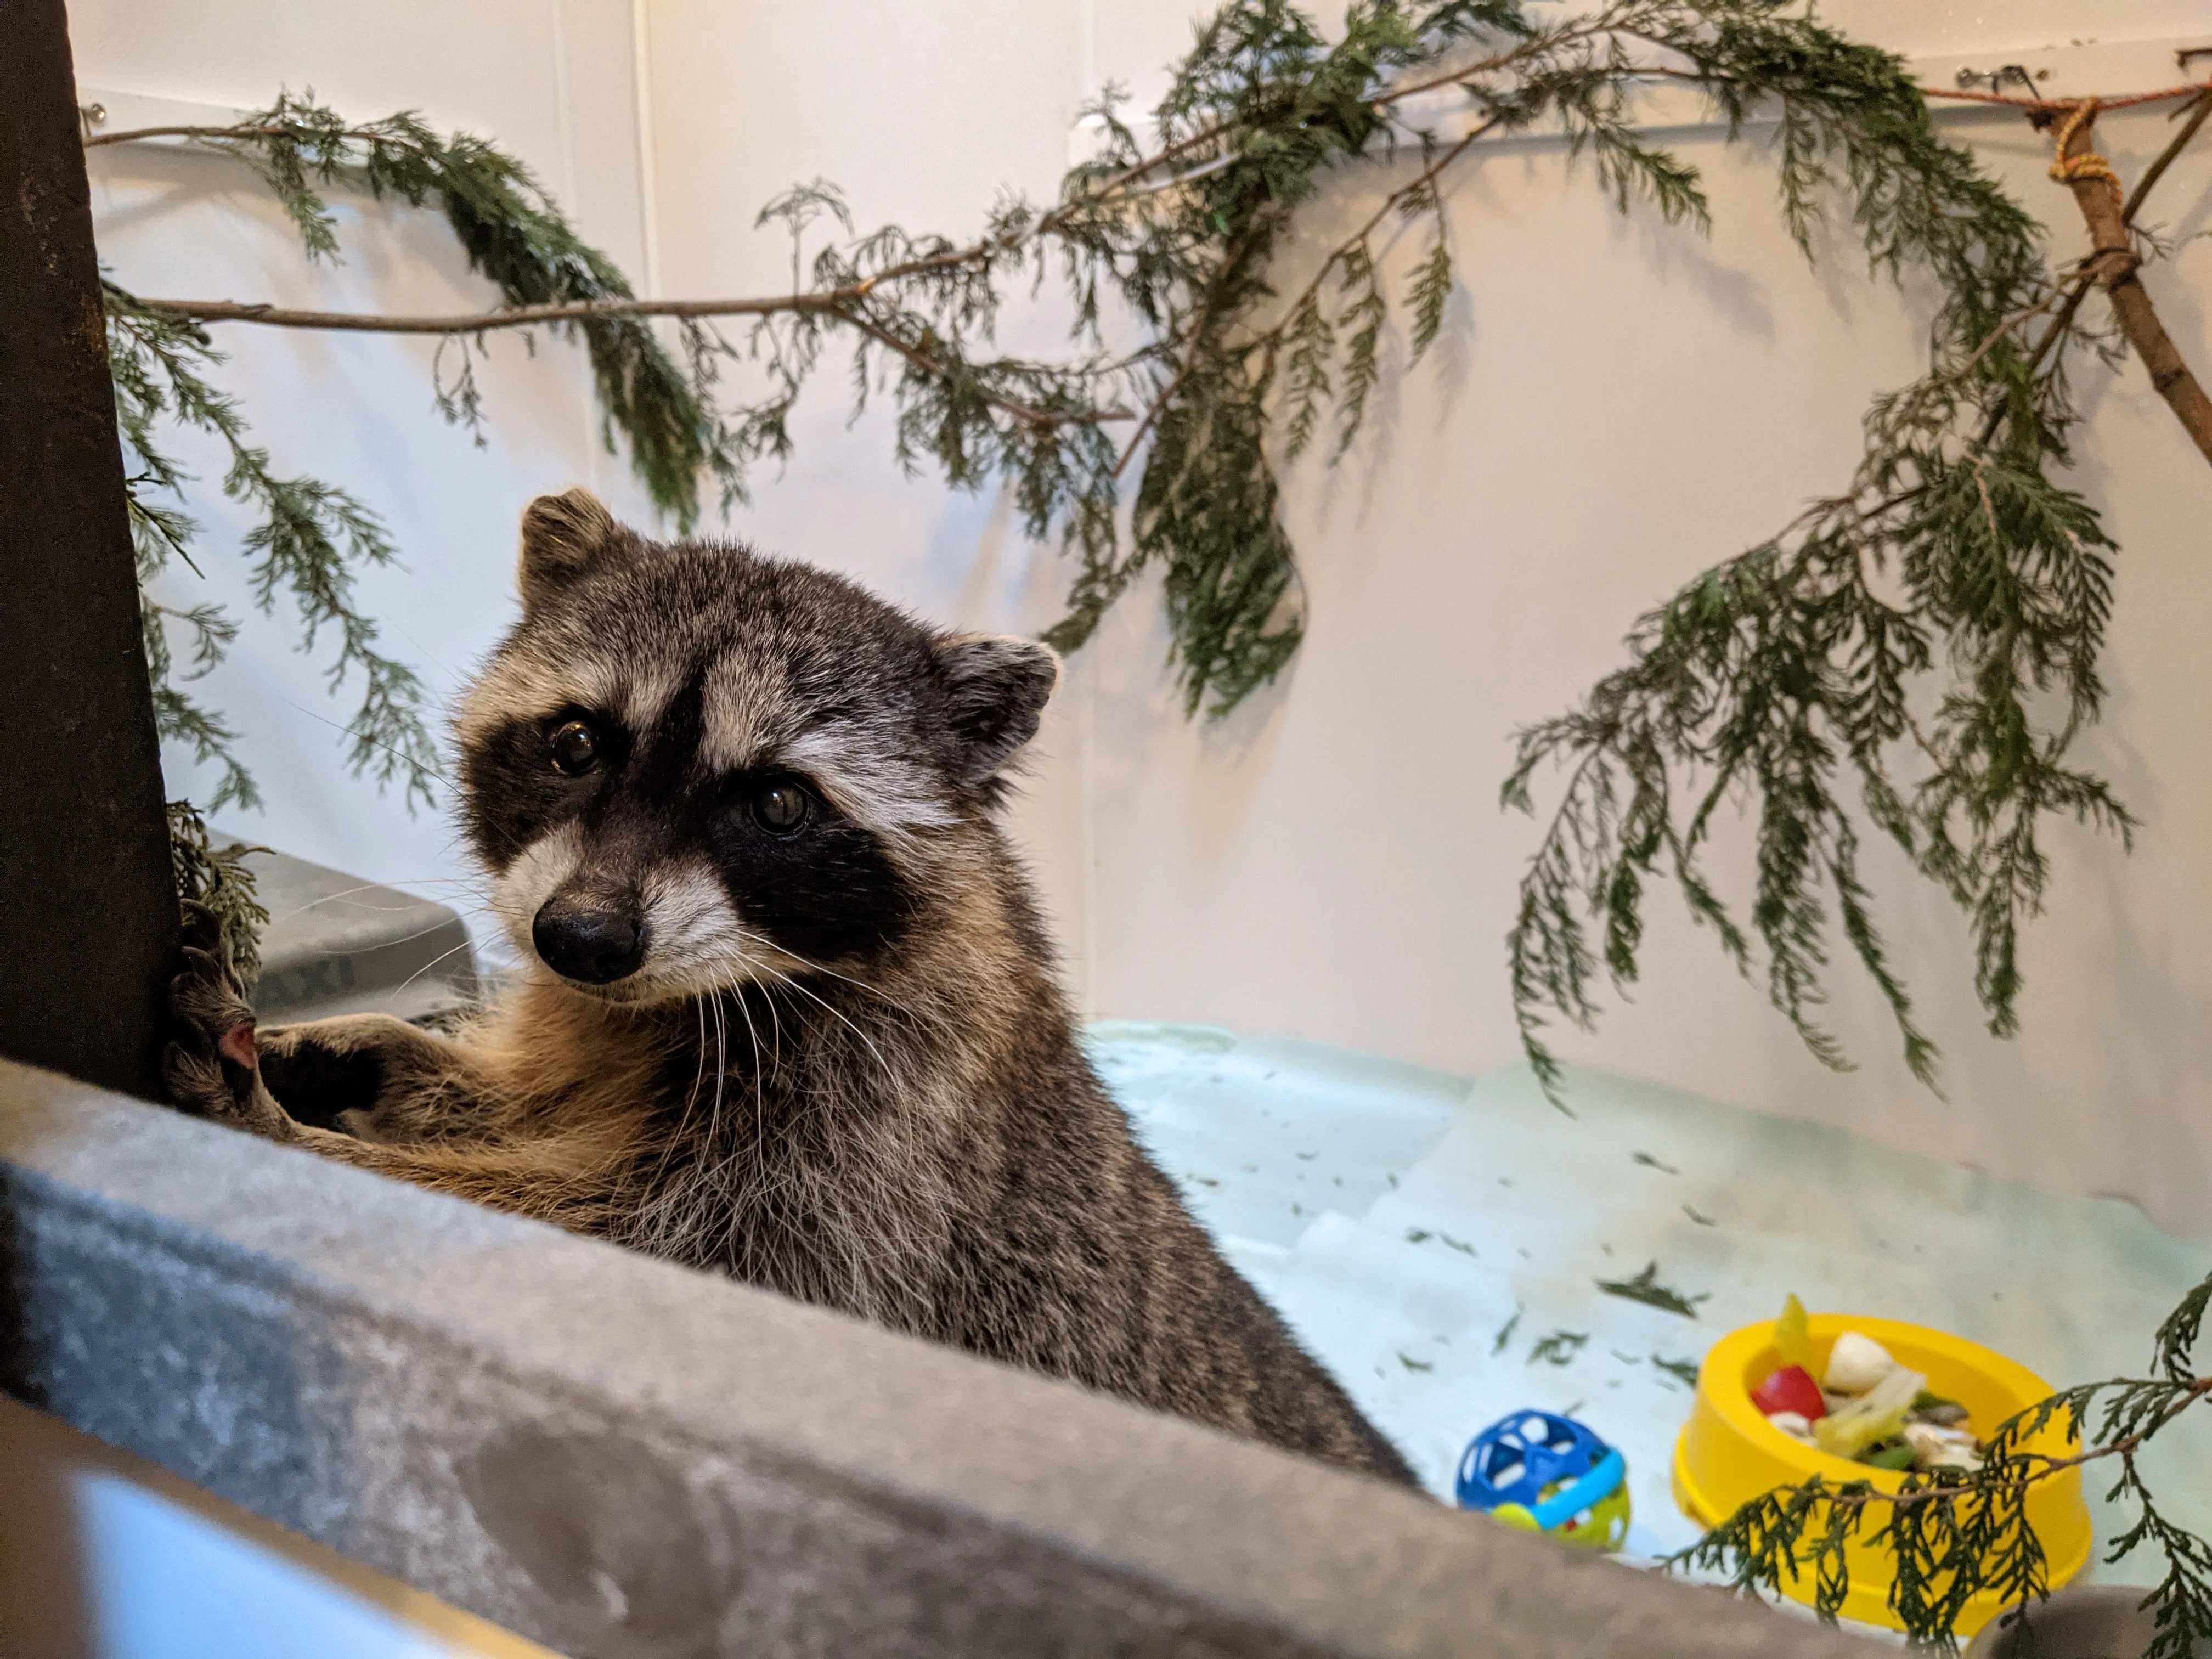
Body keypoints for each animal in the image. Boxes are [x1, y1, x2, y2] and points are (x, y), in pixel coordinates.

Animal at [165, 489, 1416, 1486]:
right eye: (575, 743)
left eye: (777, 803)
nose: (580, 938)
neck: (691, 996)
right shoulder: (608, 1025)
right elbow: (530, 1100)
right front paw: (363, 1052)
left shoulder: (881, 1146)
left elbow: (652, 1273)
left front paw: (295, 1148)